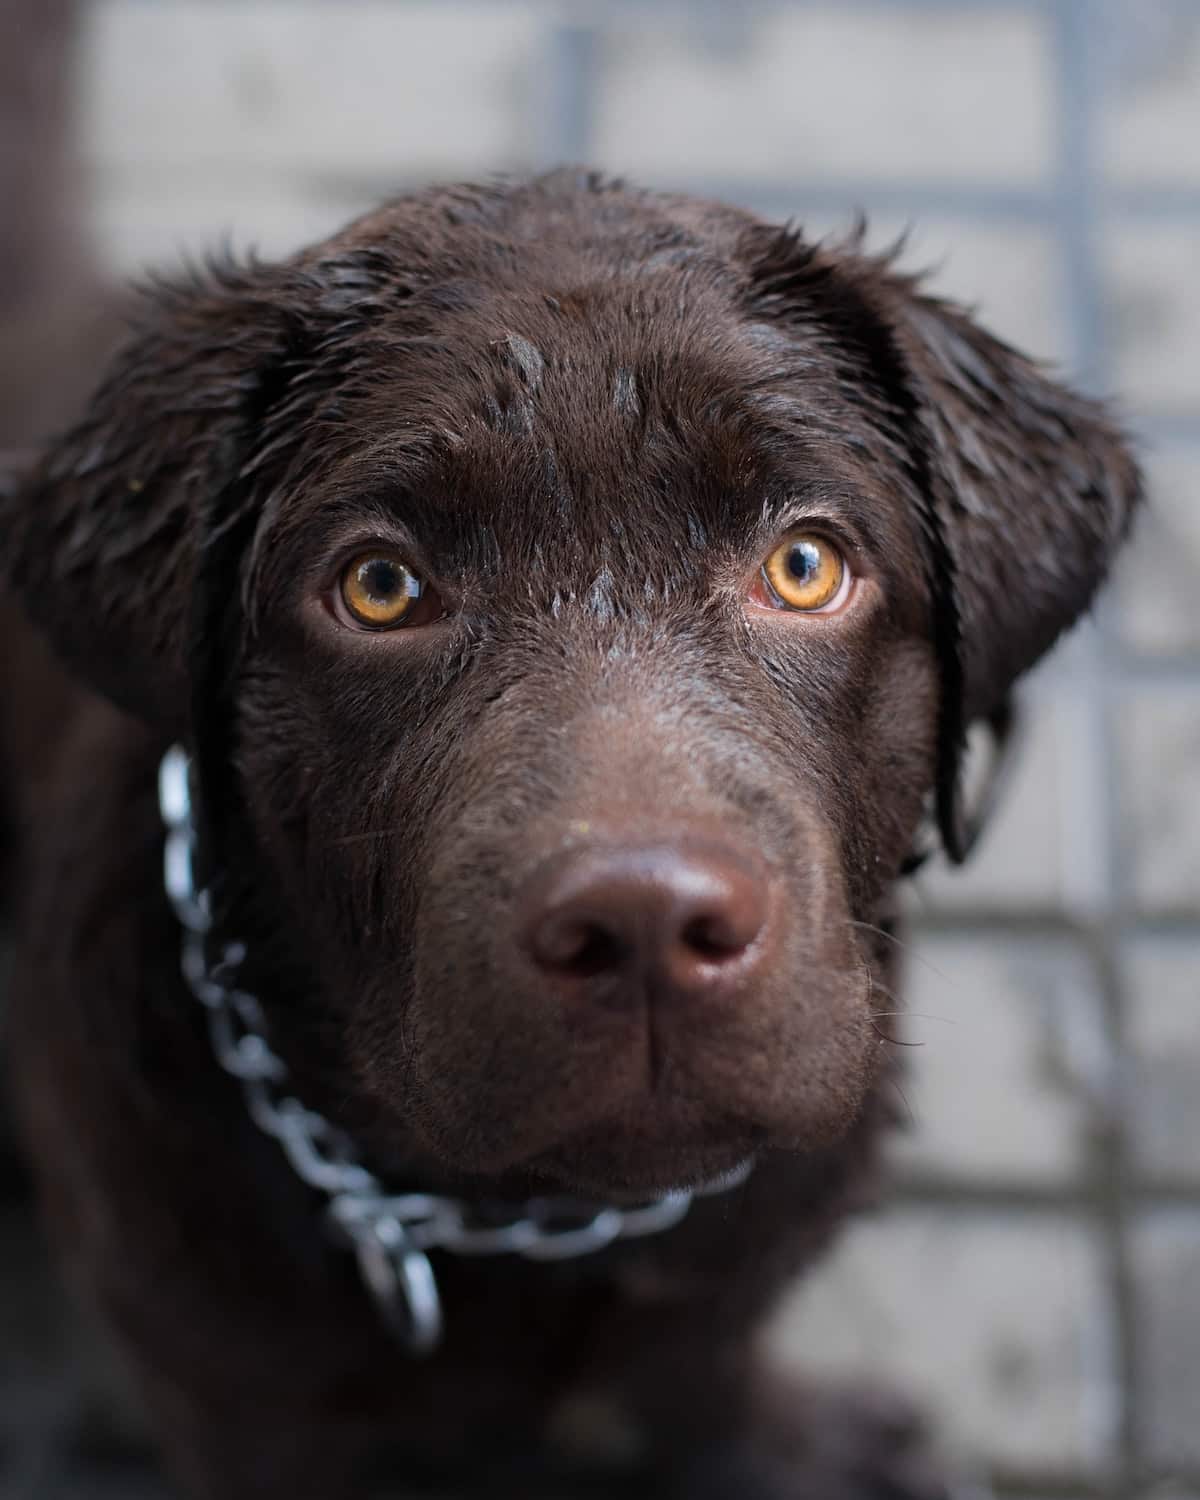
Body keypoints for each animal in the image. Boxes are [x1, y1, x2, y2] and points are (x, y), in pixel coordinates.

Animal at [0, 172, 1146, 1500]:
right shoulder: (228, 1393)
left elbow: (704, 1378)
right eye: (380, 588)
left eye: (806, 565)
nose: (644, 922)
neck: (534, 1223)